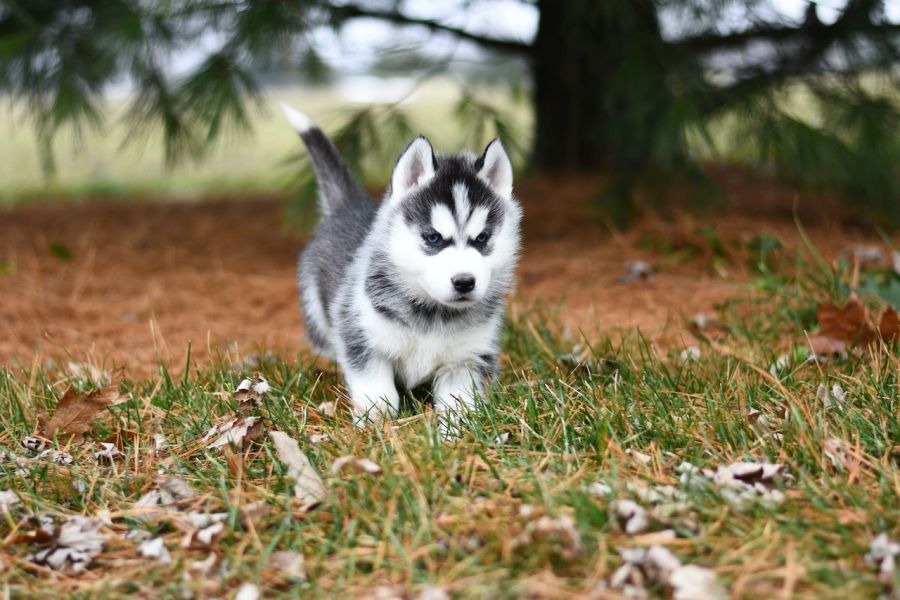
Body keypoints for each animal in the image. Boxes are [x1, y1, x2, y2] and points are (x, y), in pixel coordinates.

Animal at [280, 104, 520, 436]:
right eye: (432, 238)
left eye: (482, 238)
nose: (464, 282)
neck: (433, 315)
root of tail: (350, 205)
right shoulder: (362, 341)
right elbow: (378, 392)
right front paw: (375, 426)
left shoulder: (465, 360)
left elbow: (457, 403)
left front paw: (455, 436)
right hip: (317, 316)